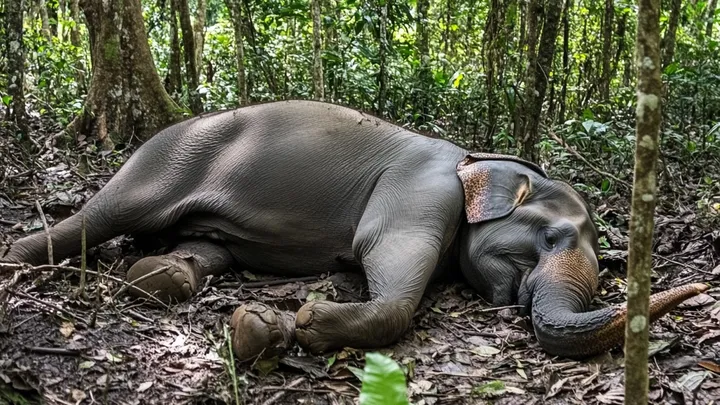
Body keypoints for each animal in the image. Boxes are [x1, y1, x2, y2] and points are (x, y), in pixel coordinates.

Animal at [1, 101, 706, 360]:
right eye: (555, 238)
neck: (477, 158)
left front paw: (268, 326)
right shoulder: (420, 189)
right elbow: (386, 263)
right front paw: (300, 323)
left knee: (205, 248)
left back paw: (158, 277)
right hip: (165, 161)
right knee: (106, 215)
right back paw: (18, 259)